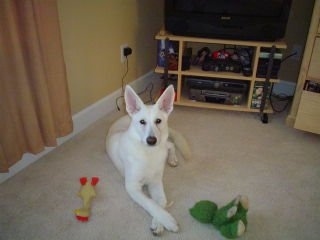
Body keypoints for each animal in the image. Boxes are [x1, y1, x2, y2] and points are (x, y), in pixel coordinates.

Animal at [105, 85, 190, 235]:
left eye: (158, 121)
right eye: (142, 122)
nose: (151, 140)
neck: (149, 153)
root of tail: (126, 116)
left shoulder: (156, 182)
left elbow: (161, 201)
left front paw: (159, 222)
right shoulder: (132, 187)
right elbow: (151, 203)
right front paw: (167, 221)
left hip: (163, 142)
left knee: (170, 144)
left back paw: (172, 159)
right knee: (170, 144)